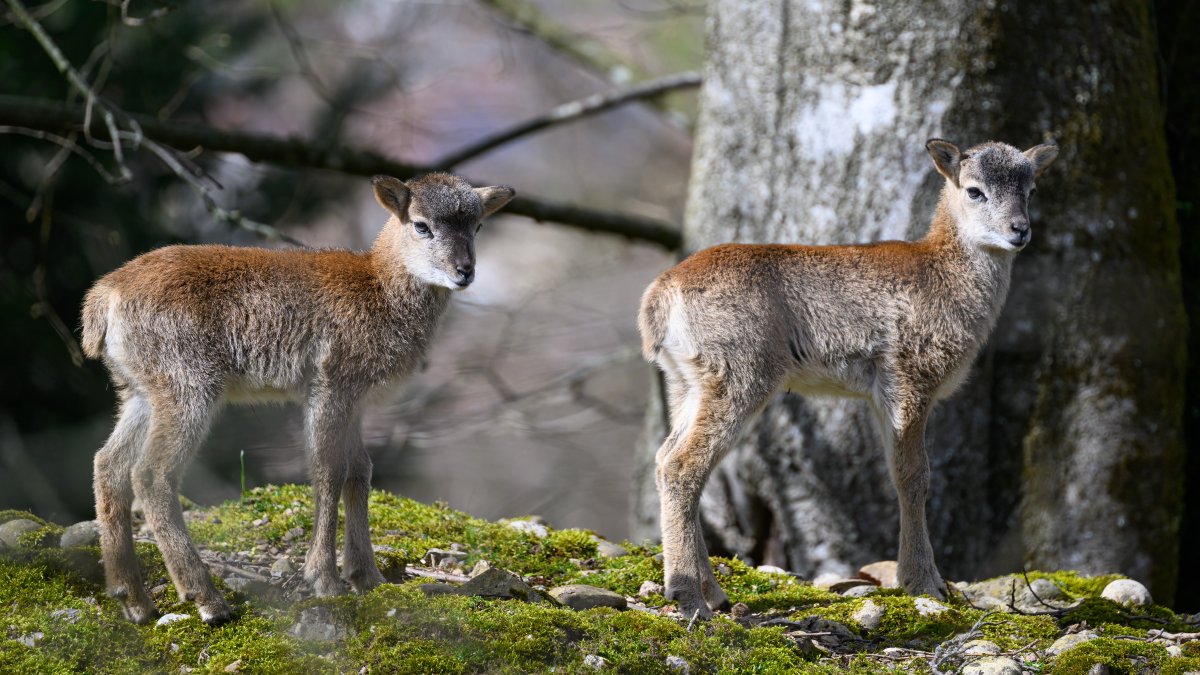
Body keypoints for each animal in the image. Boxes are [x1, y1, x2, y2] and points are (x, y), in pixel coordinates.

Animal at [82, 171, 513, 619]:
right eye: (421, 225)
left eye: (478, 226)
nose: (464, 271)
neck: (378, 289)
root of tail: (103, 297)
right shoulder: (330, 384)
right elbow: (328, 470)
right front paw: (324, 579)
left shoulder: (355, 399)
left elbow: (359, 471)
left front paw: (368, 577)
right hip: (187, 385)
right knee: (150, 474)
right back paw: (206, 598)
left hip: (140, 391)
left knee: (108, 464)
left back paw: (133, 598)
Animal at [638, 139, 1060, 619]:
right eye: (974, 190)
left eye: (1030, 189)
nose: (1019, 230)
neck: (943, 277)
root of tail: (659, 296)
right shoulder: (909, 375)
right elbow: (913, 476)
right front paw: (924, 584)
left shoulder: (880, 393)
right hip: (738, 374)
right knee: (682, 466)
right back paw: (689, 597)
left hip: (687, 381)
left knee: (665, 457)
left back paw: (713, 592)